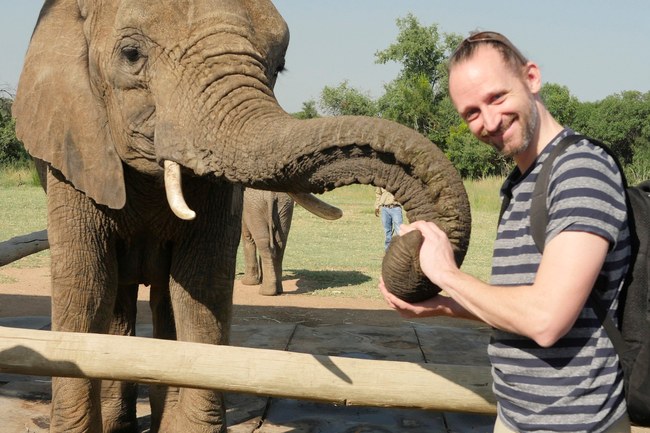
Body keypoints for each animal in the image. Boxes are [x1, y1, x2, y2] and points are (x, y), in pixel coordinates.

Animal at [11, 1, 471, 432]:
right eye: (130, 54)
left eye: (278, 65)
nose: (415, 235)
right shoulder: (73, 145)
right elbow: (86, 286)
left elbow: (203, 285)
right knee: (117, 295)